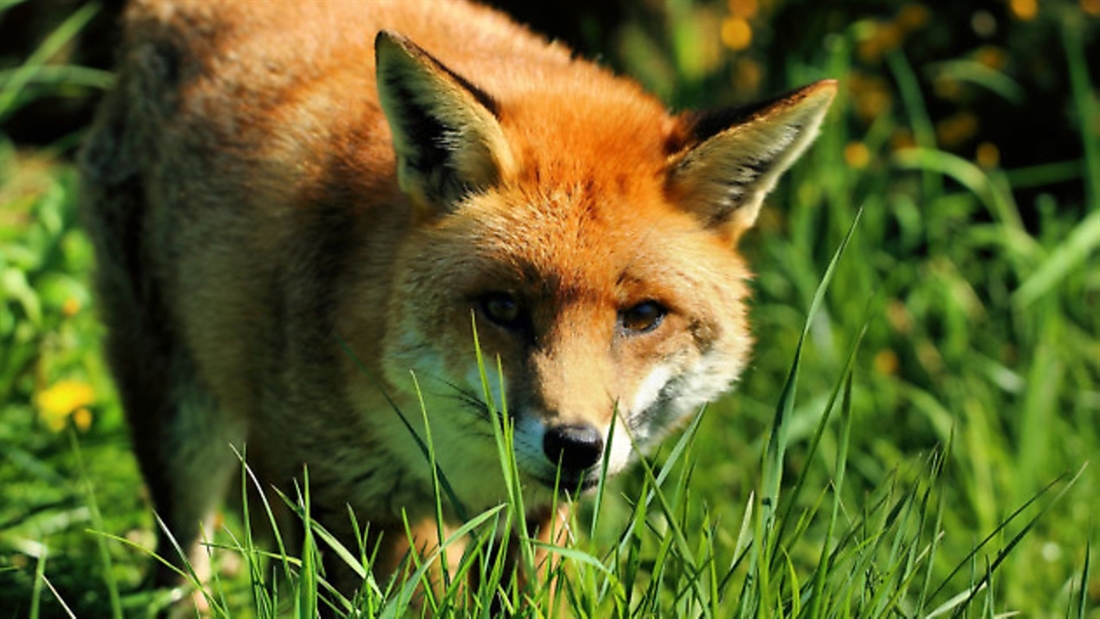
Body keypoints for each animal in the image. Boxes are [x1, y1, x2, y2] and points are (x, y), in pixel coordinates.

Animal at [79, 0, 831, 602]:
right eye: (502, 308)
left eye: (643, 316)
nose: (576, 448)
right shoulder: (347, 498)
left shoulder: (533, 518)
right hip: (180, 420)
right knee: (180, 562)